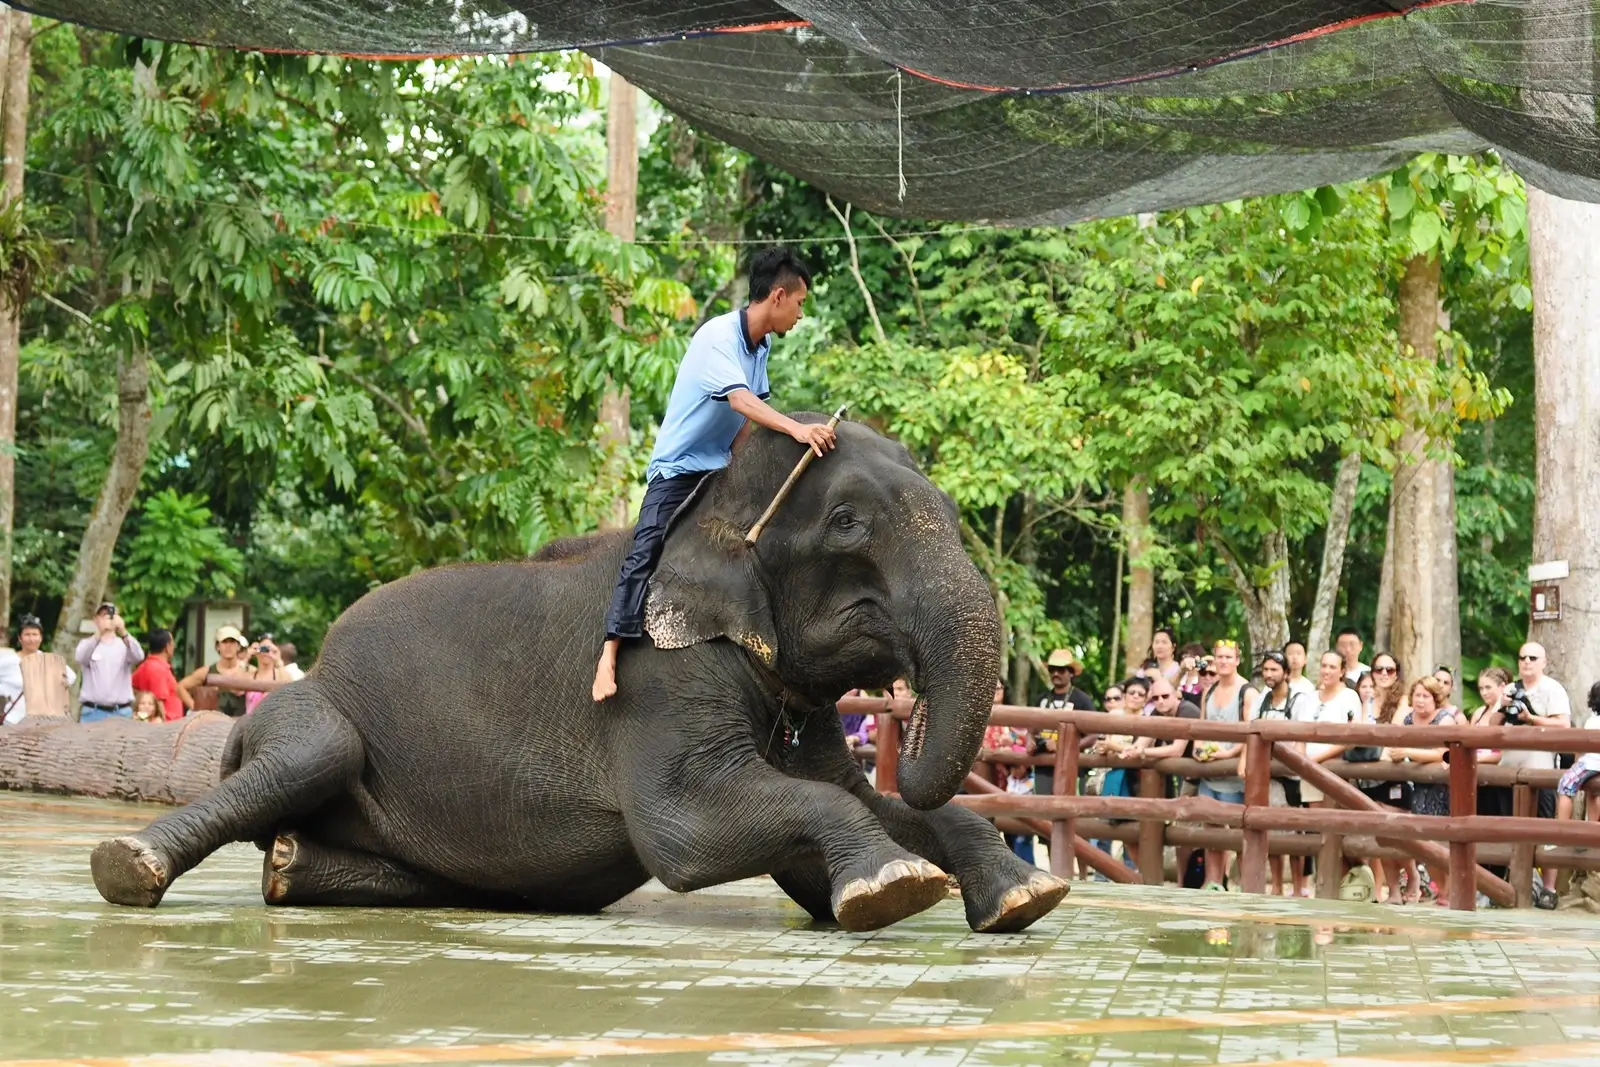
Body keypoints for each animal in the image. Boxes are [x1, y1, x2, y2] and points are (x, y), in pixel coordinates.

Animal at [89, 414, 1069, 933]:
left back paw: (292, 866)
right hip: (303, 705)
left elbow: (852, 801)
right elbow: (686, 834)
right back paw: (128, 866)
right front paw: (895, 887)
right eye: (848, 524)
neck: (708, 501)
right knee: (313, 751)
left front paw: (1025, 897)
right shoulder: (654, 675)